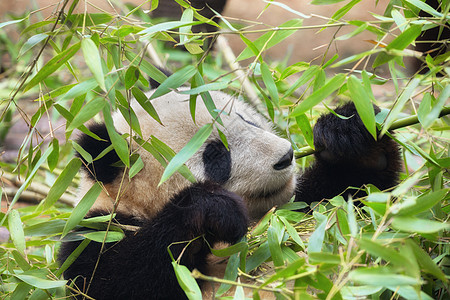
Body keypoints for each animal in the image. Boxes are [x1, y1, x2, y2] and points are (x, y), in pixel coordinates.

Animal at [59, 77, 400, 298]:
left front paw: (349, 131)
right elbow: (116, 280)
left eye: (248, 120)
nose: (285, 157)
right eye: (216, 155)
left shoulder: (298, 207)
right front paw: (212, 209)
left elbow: (358, 199)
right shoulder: (96, 231)